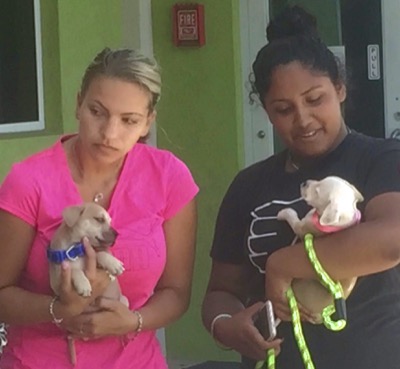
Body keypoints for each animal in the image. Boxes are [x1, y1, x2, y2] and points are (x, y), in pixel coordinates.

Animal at [278, 176, 362, 320]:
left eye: (317, 192)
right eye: (320, 180)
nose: (304, 183)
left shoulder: (301, 228)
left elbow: (292, 218)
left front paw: (284, 212)